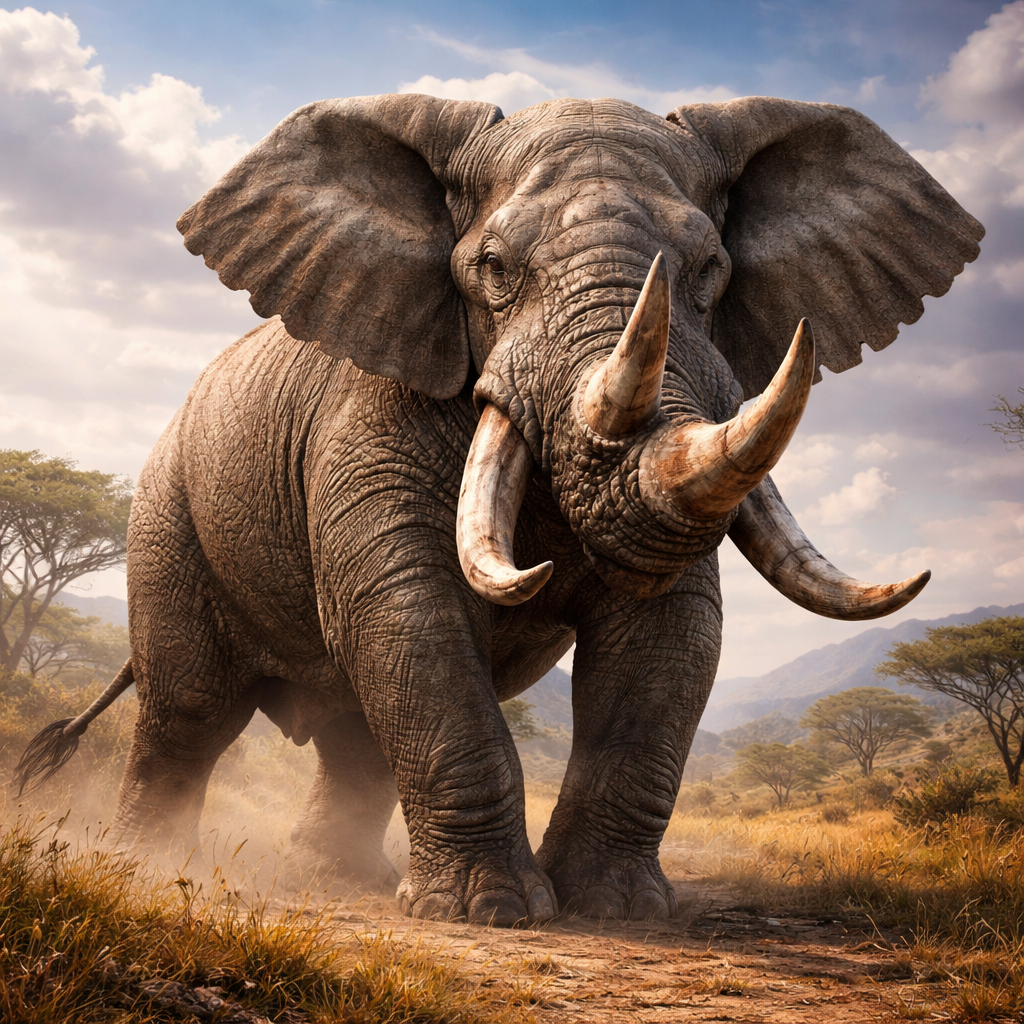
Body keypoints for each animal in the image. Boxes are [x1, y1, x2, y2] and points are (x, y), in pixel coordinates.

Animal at [17, 92, 982, 926]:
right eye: (494, 270)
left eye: (713, 271)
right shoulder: (373, 410)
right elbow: (408, 608)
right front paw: (492, 913)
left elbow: (672, 631)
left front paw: (614, 910)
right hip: (168, 512)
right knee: (188, 709)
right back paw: (143, 861)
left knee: (348, 728)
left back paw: (340, 876)